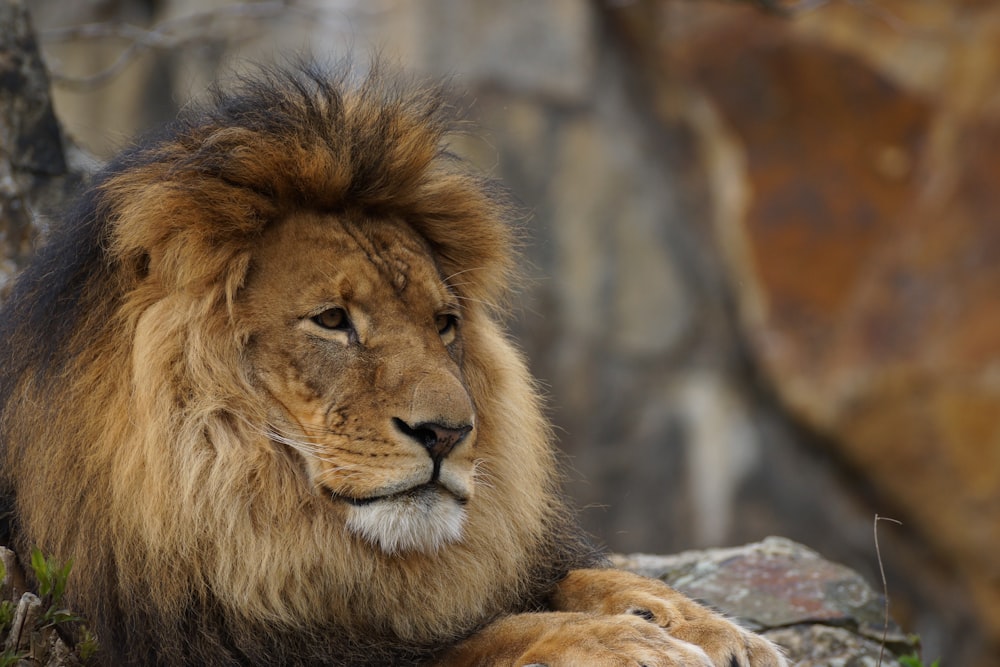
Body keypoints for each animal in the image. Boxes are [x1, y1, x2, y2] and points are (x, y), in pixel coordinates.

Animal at [0, 64, 784, 667]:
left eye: (444, 325)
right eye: (332, 320)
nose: (447, 434)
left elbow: (575, 577)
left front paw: (706, 626)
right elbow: (479, 639)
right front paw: (625, 642)